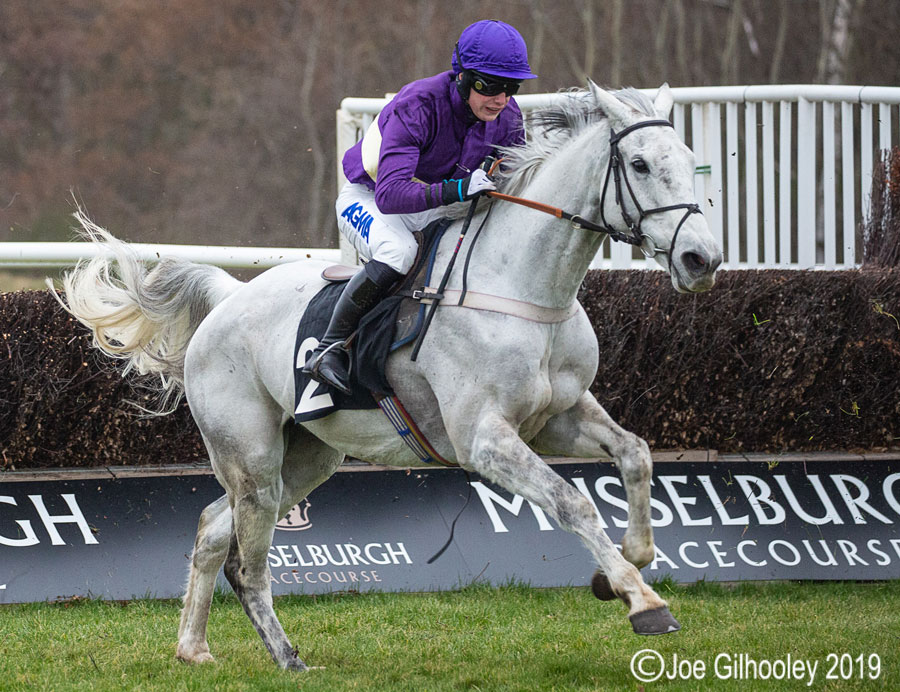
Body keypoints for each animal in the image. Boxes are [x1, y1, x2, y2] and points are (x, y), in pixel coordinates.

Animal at [53, 83, 723, 671]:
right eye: (639, 163)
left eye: (689, 159)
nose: (703, 260)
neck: (525, 289)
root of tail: (227, 297)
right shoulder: (485, 439)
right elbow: (573, 502)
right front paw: (642, 600)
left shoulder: (556, 416)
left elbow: (636, 455)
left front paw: (623, 567)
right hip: (252, 457)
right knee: (247, 562)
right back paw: (287, 658)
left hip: (307, 457)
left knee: (214, 530)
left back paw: (195, 649)